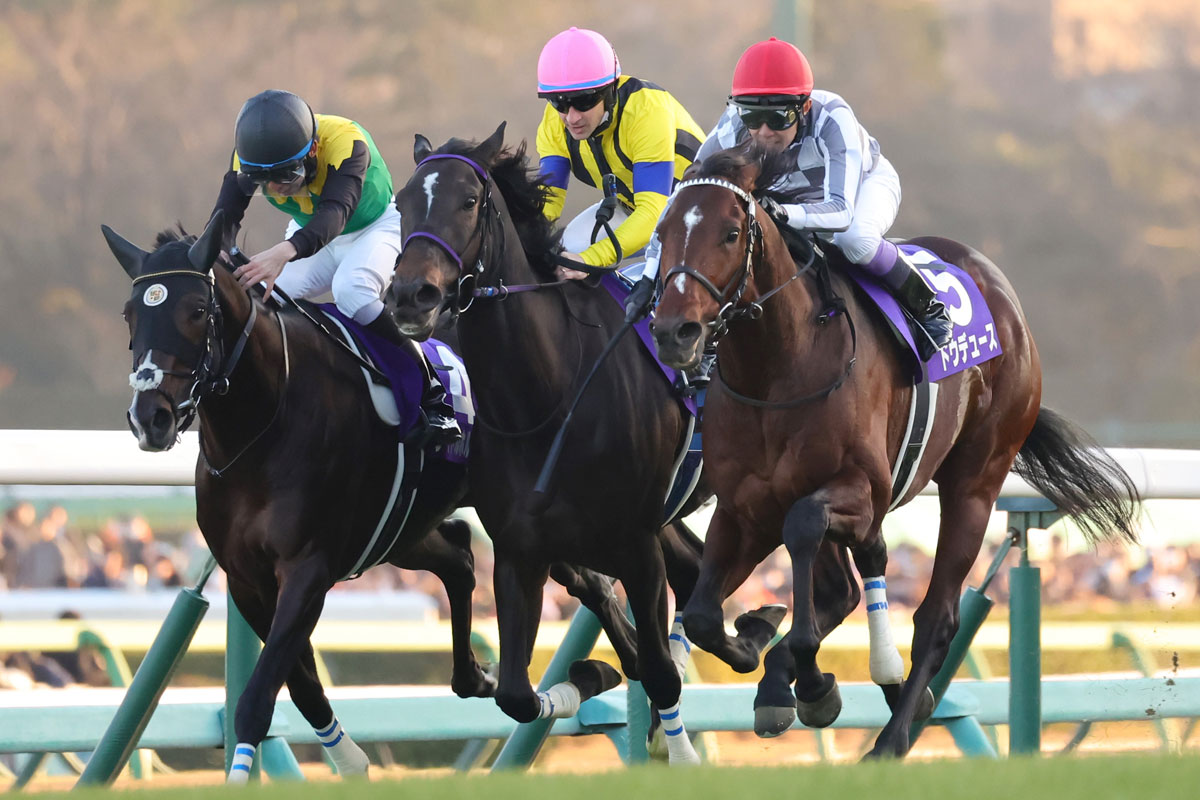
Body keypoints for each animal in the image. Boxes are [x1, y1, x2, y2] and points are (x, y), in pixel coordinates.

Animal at [102, 213, 497, 781]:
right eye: (131, 312)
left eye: (196, 310)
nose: (149, 418)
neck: (263, 428)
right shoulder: (248, 578)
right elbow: (300, 684)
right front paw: (352, 763)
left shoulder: (309, 567)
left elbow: (258, 696)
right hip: (403, 530)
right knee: (461, 556)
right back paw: (478, 678)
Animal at [386, 123, 787, 764]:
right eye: (402, 204)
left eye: (469, 201)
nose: (411, 296)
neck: (547, 396)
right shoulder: (520, 548)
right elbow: (518, 695)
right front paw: (593, 674)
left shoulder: (635, 543)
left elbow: (661, 673)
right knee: (690, 569)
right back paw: (750, 632)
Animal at [648, 144, 1141, 758]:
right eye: (663, 229)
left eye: (732, 232)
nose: (674, 332)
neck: (778, 368)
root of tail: (1001, 292)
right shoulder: (745, 508)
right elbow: (701, 615)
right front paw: (763, 655)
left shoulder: (859, 489)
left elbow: (806, 531)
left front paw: (810, 681)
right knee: (851, 580)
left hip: (976, 483)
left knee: (937, 615)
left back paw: (892, 735)